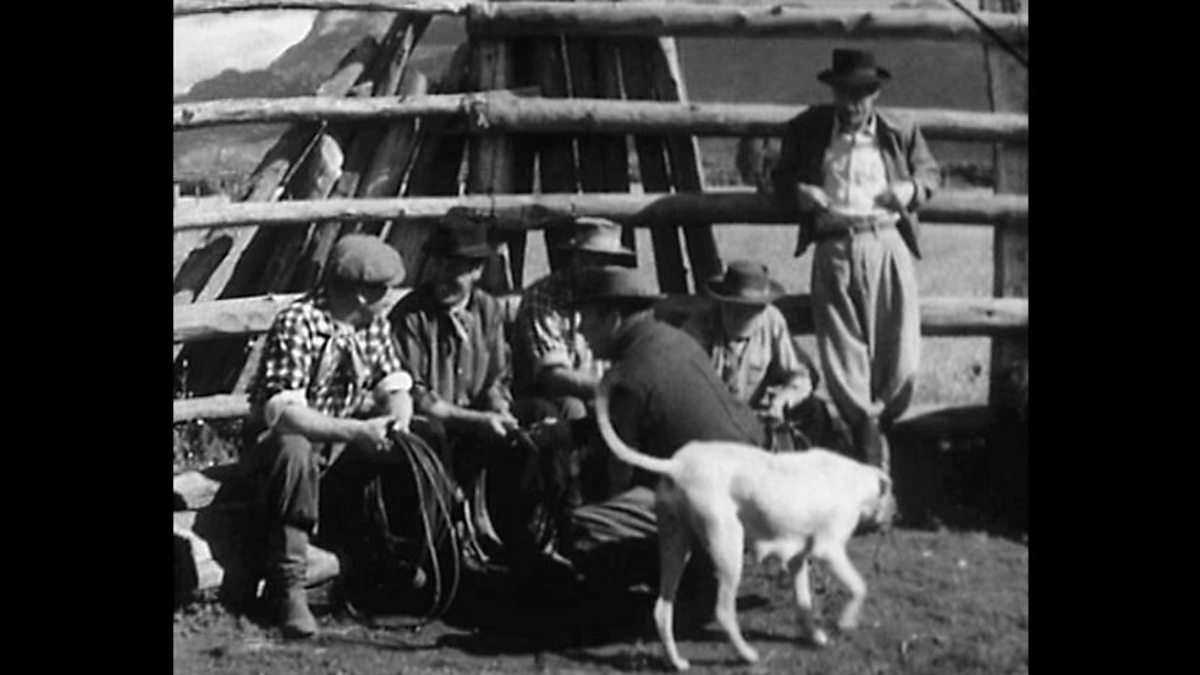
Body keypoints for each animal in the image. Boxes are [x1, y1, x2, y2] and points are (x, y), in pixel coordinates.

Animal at [595, 369, 897, 667]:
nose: (896, 513)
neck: (855, 478)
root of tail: (677, 465)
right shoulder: (828, 550)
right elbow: (859, 587)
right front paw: (847, 620)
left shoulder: (797, 560)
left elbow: (804, 604)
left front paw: (815, 635)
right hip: (728, 548)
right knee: (723, 612)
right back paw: (746, 654)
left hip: (676, 546)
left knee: (662, 610)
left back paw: (677, 661)